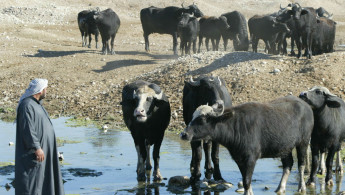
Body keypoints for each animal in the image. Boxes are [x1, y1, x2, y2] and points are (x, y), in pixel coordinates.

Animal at [181, 95, 314, 194]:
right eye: (192, 117)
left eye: (202, 119)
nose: (183, 134)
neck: (236, 127)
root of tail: (307, 107)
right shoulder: (239, 159)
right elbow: (246, 181)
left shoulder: (251, 158)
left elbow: (246, 181)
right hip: (285, 147)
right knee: (288, 164)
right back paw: (280, 188)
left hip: (303, 142)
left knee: (301, 164)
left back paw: (301, 187)